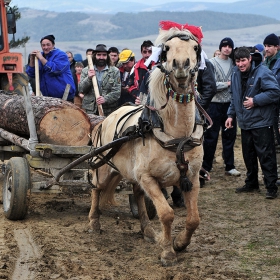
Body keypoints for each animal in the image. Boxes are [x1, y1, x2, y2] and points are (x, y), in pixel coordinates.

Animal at [88, 22, 205, 266]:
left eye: (195, 47)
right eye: (167, 48)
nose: (181, 65)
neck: (176, 134)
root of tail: (106, 118)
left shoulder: (192, 178)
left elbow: (193, 219)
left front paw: (180, 243)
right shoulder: (148, 177)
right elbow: (167, 214)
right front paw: (168, 252)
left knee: (138, 195)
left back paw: (147, 230)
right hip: (103, 169)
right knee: (96, 189)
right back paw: (93, 222)